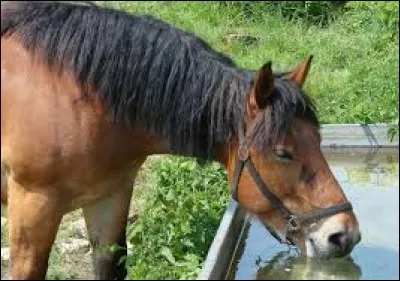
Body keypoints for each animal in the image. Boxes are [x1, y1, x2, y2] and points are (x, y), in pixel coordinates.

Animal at [0, 1, 362, 278]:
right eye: (283, 153)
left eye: (318, 140)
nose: (344, 235)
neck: (75, 95)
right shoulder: (33, 207)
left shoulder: (110, 197)